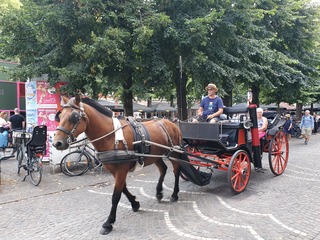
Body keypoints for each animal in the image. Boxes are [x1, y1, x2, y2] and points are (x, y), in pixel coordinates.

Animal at [52, 95, 182, 234]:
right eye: (60, 116)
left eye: (74, 117)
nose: (57, 143)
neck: (112, 136)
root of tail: (172, 123)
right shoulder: (114, 170)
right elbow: (123, 189)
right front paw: (135, 203)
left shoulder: (121, 169)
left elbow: (115, 196)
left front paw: (108, 223)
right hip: (155, 157)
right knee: (163, 169)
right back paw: (158, 193)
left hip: (174, 153)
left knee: (176, 171)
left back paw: (174, 194)